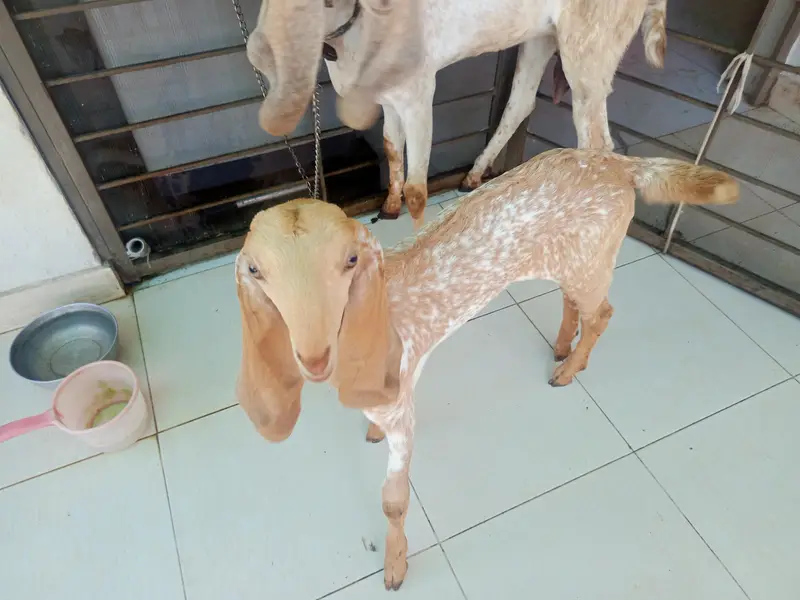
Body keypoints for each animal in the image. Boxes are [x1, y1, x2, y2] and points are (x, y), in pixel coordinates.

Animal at [235, 148, 737, 590]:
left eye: (350, 261)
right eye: (256, 271)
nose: (313, 356)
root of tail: (621, 164)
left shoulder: (403, 413)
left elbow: (394, 501)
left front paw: (395, 567)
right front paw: (369, 428)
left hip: (595, 259)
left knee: (603, 313)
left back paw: (569, 369)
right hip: (571, 260)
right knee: (572, 299)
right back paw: (560, 347)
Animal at [247, 0, 668, 226]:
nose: (259, 49)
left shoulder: (419, 92)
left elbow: (418, 186)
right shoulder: (389, 96)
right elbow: (391, 150)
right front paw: (389, 206)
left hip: (590, 52)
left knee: (598, 140)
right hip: (541, 36)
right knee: (521, 101)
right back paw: (475, 175)